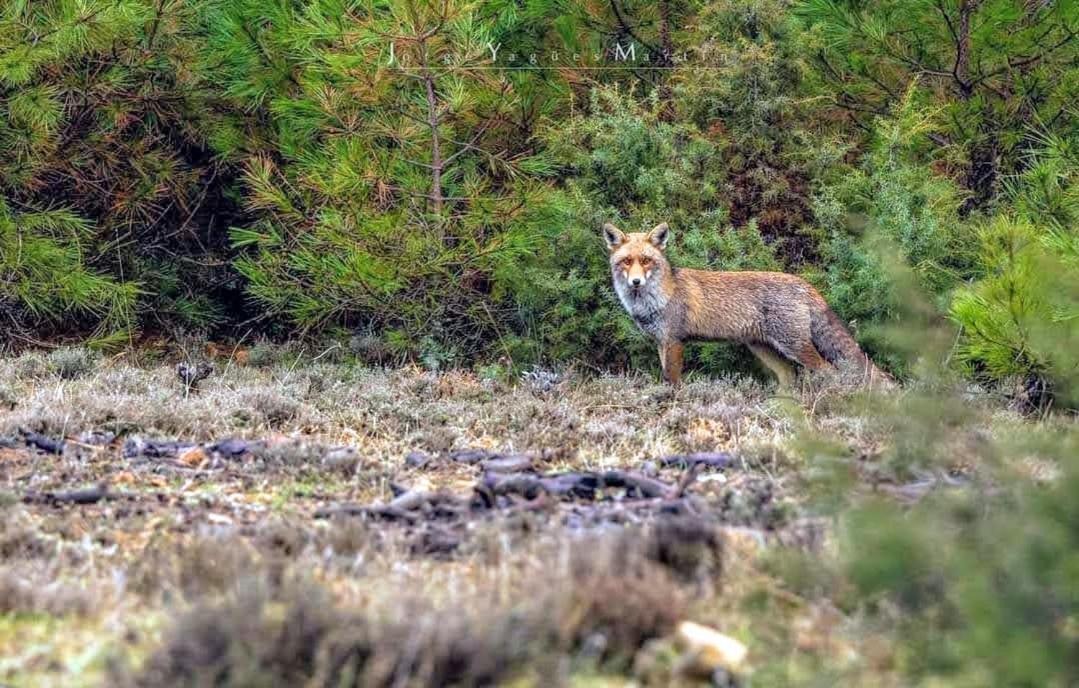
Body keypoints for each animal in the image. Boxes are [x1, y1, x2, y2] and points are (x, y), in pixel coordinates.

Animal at [604, 224, 889, 390]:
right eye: (627, 261)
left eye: (646, 261)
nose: (636, 281)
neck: (658, 296)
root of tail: (803, 282)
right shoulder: (661, 342)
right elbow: (665, 377)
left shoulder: (674, 340)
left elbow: (672, 381)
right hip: (764, 348)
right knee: (789, 376)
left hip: (795, 346)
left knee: (829, 371)